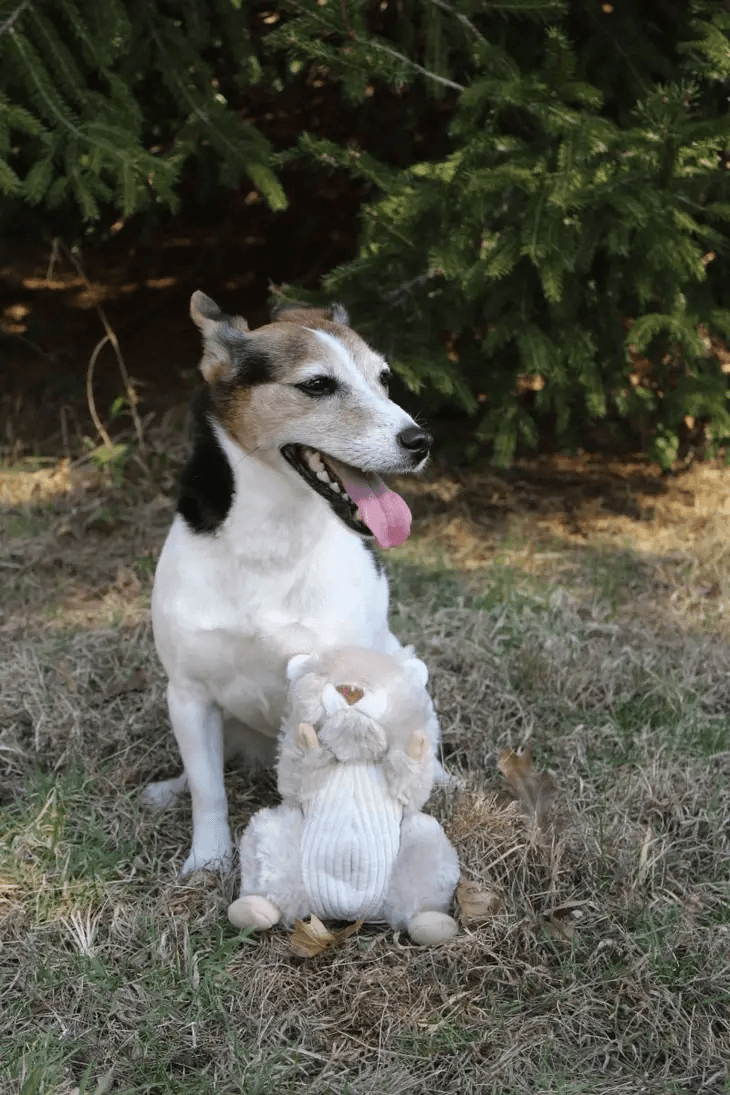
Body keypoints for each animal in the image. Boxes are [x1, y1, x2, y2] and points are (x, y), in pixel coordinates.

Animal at [145, 291, 437, 871]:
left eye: (384, 379)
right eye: (318, 385)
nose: (420, 440)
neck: (273, 536)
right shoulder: (188, 695)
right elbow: (207, 791)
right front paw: (209, 860)